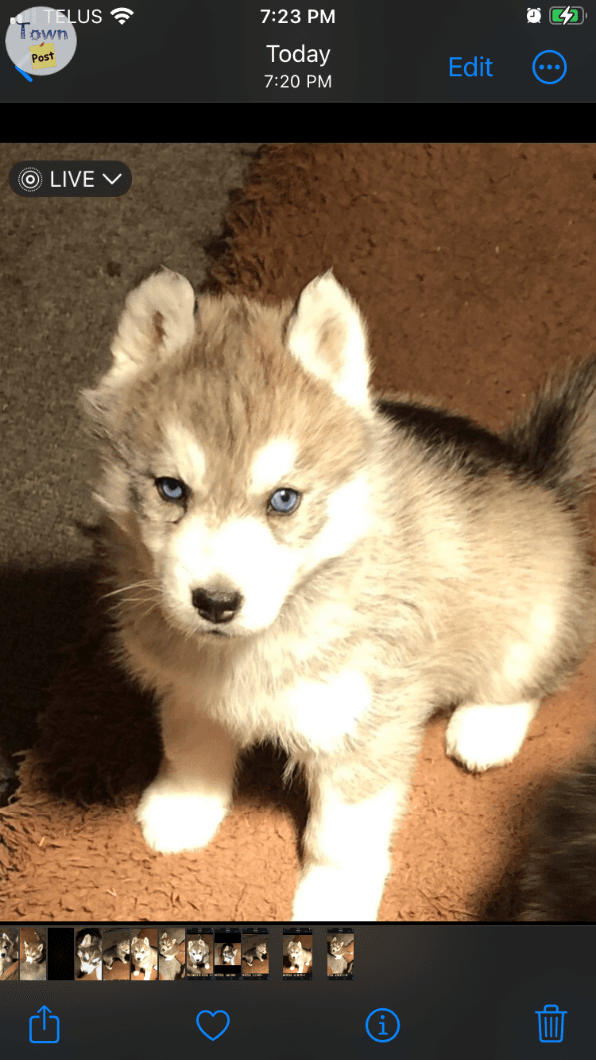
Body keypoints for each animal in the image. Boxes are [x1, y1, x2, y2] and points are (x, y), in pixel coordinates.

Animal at [80, 267, 596, 920]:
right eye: (171, 489)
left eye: (283, 499)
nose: (216, 603)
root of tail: (539, 474)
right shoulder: (188, 687)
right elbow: (191, 748)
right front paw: (181, 811)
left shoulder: (365, 723)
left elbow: (341, 834)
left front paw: (333, 901)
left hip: (536, 618)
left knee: (534, 672)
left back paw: (485, 728)